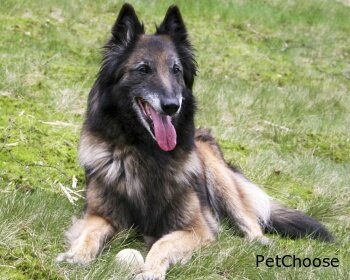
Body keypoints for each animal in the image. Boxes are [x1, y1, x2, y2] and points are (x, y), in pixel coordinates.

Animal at [56, 3, 332, 278]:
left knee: (248, 218)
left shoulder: (197, 228)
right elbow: (89, 234)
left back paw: (259, 242)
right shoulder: (99, 215)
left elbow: (162, 242)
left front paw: (151, 270)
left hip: (219, 178)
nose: (172, 106)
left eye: (176, 70)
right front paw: (76, 255)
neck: (144, 151)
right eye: (143, 69)